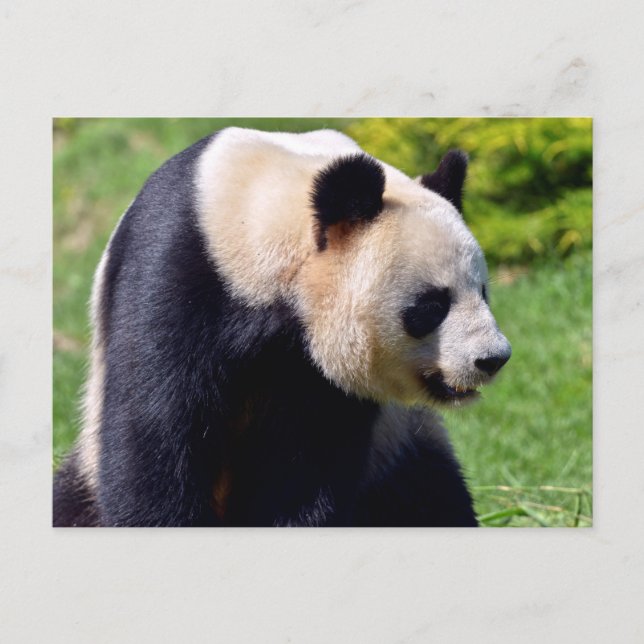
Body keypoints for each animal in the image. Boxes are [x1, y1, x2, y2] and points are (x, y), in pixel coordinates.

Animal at [53, 126, 511, 527]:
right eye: (432, 306)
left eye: (483, 291)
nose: (493, 358)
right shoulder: (179, 269)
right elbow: (155, 428)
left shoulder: (316, 375)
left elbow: (306, 460)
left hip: (399, 448)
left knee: (429, 495)